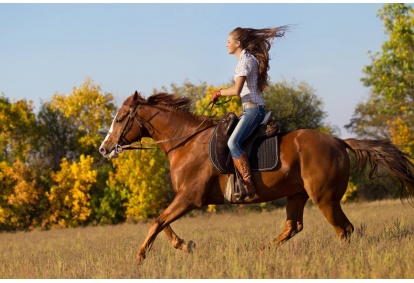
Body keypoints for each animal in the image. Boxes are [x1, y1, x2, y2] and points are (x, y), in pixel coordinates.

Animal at [99, 92, 414, 266]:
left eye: (121, 118)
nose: (104, 148)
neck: (185, 141)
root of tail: (338, 141)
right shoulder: (184, 198)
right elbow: (162, 221)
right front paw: (184, 245)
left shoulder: (190, 197)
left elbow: (158, 221)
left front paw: (139, 258)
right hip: (297, 194)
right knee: (293, 227)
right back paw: (261, 252)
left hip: (324, 198)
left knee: (344, 229)